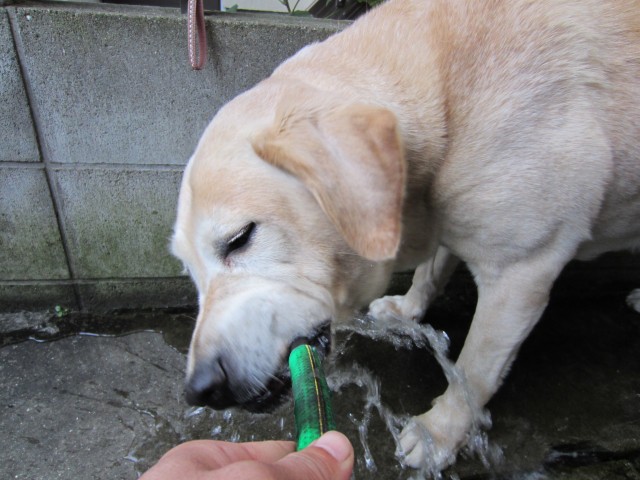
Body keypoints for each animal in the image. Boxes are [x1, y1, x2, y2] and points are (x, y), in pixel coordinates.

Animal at [171, 0, 640, 470]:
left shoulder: (520, 271)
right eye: (190, 271)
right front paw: (406, 309)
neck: (446, 94)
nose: (200, 389)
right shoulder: (442, 214)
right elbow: (431, 268)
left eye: (240, 238)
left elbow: (474, 370)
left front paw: (438, 434)